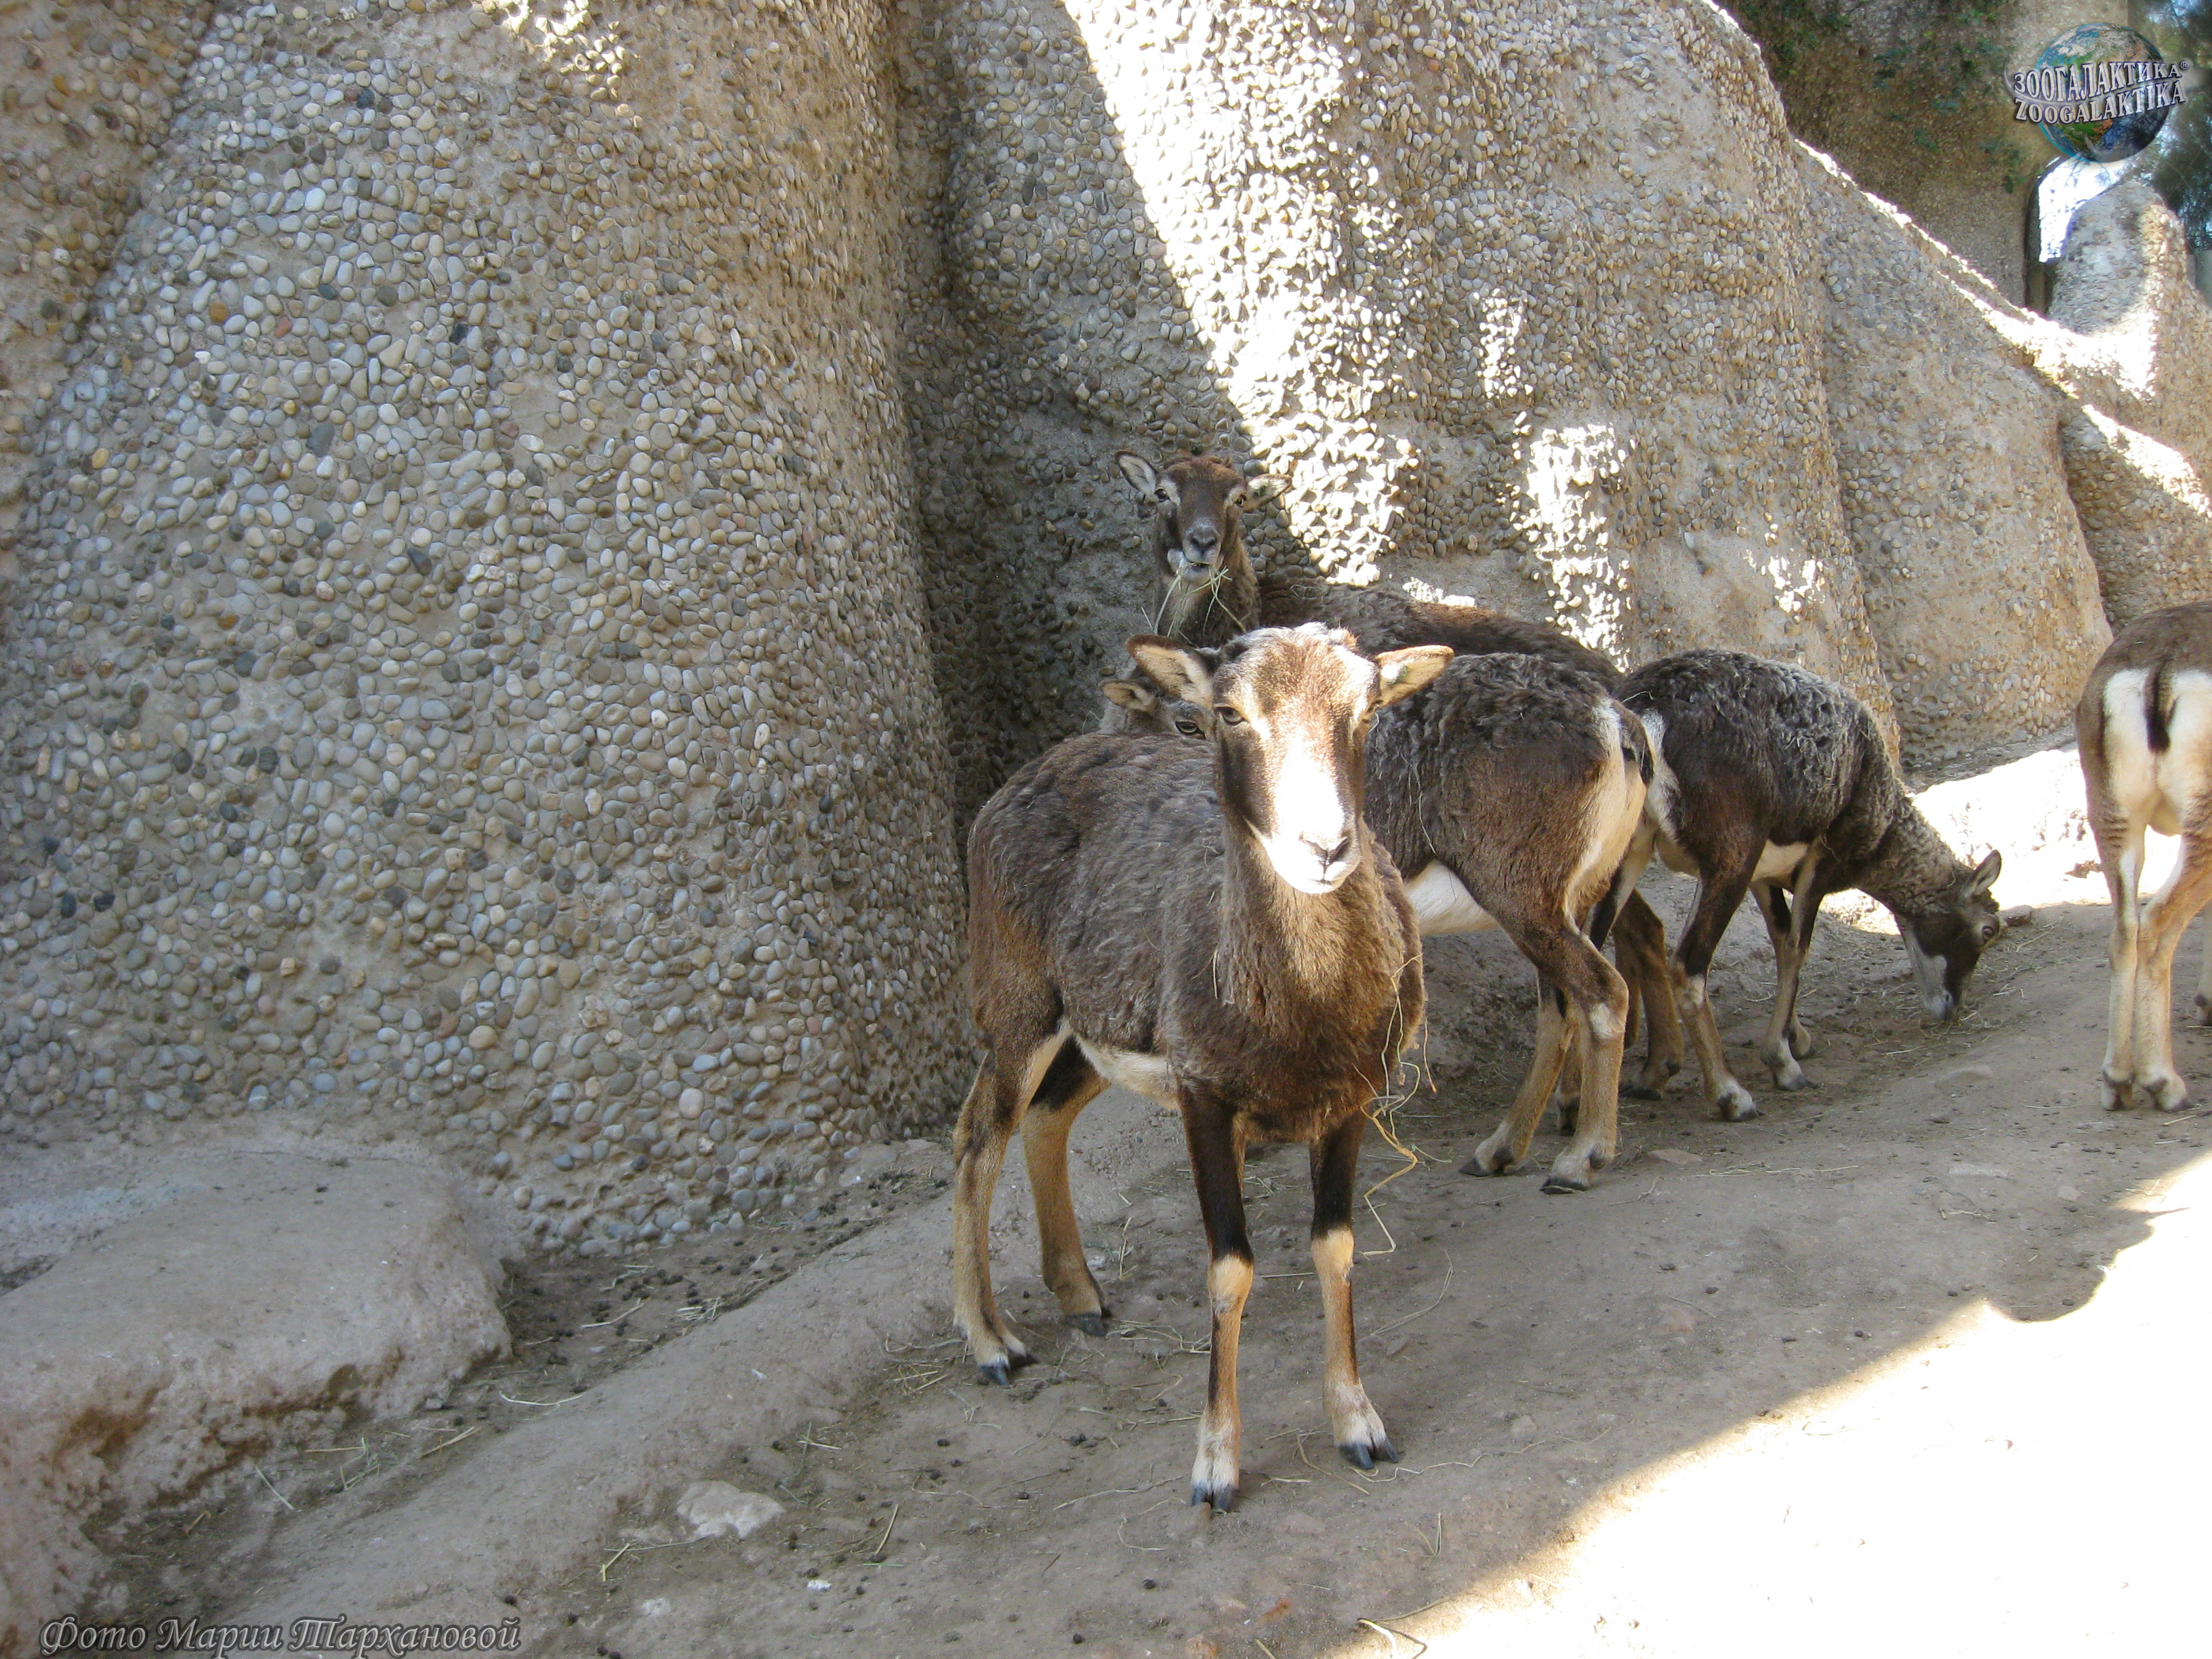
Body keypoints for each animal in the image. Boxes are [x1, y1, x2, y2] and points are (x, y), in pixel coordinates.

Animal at [954, 625, 1452, 1510]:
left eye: (1366, 711)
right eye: (1229, 713)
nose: (1325, 848)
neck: (1302, 1014)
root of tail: (1020, 779)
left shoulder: (1351, 1099)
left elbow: (1335, 1246)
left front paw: (1358, 1425)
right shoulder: (1203, 1098)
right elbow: (1230, 1268)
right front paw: (1216, 1465)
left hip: (1094, 1029)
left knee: (1046, 1117)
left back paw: (1080, 1294)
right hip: (1018, 1000)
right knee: (980, 1135)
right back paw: (992, 1342)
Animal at [1104, 651, 1648, 1193]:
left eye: (1194, 721)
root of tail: (1613, 720)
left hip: (1525, 900)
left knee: (1603, 992)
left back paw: (1580, 1159)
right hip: (1565, 906)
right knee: (1562, 1007)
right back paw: (1501, 1151)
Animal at [1613, 650, 2002, 1120]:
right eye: (1987, 931)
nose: (1950, 1007)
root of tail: (1649, 711)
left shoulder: (1764, 874)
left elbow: (1782, 940)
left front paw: (1796, 1039)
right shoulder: (1819, 860)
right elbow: (1799, 947)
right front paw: (1784, 1064)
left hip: (1625, 854)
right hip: (1729, 859)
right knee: (1687, 968)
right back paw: (1731, 1094)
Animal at [2076, 601, 2212, 1111]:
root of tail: (2161, 670)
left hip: (2115, 821)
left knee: (2124, 929)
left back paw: (2116, 1081)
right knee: (2156, 926)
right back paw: (2163, 1082)